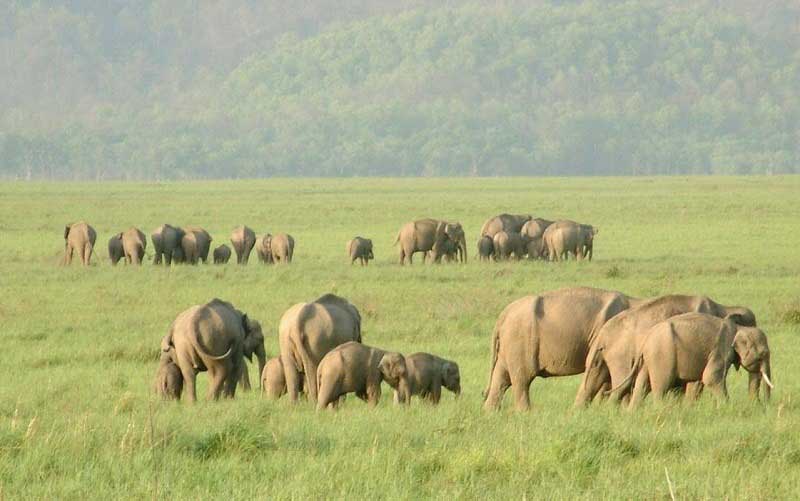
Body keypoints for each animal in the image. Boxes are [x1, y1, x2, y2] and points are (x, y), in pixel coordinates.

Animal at [482, 286, 644, 410]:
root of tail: (503, 315)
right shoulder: (602, 336)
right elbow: (598, 368)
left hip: (508, 346)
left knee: (501, 378)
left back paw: (490, 413)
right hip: (519, 342)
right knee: (522, 379)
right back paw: (525, 413)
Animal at [576, 294, 756, 404]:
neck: (724, 308)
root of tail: (602, 334)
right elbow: (696, 383)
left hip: (601, 357)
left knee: (589, 384)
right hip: (621, 356)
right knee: (621, 386)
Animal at [608, 312, 772, 406]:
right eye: (763, 354)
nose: (763, 405)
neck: (739, 328)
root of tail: (645, 340)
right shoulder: (721, 349)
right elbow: (710, 377)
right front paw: (727, 407)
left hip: (648, 361)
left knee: (642, 386)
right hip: (662, 356)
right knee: (661, 387)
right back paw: (661, 411)